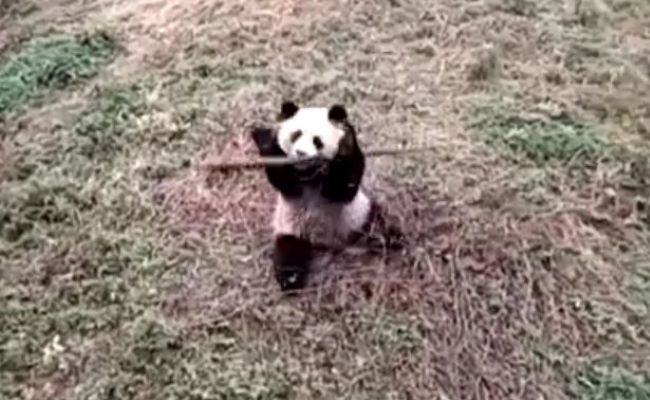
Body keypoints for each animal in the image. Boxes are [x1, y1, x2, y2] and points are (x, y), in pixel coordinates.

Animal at [250, 101, 403, 292]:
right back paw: (291, 279)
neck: (308, 174)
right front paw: (264, 139)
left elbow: (343, 187)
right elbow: (282, 178)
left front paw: (345, 144)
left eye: (317, 141)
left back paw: (394, 238)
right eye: (296, 135)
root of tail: (331, 243)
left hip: (360, 214)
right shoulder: (292, 188)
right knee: (289, 254)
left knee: (378, 224)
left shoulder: (341, 188)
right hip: (292, 229)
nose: (301, 153)